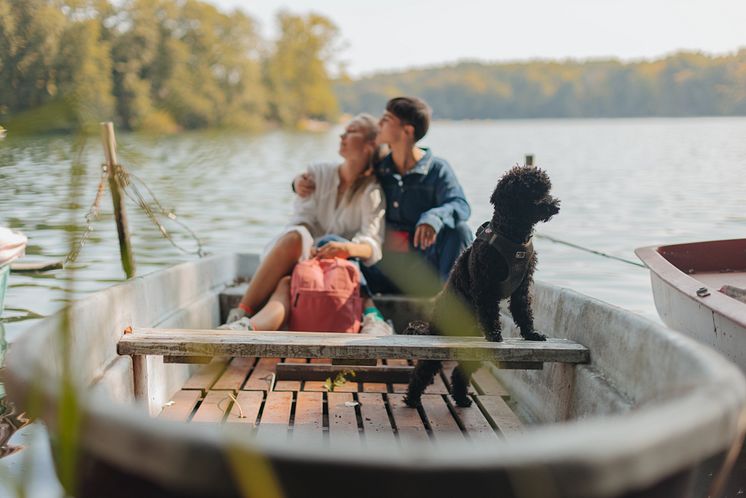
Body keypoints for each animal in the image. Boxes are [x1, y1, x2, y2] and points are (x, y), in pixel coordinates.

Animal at [402, 165, 560, 406]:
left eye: (545, 189)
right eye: (532, 192)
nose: (554, 205)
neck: (513, 236)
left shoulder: (522, 287)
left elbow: (524, 310)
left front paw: (531, 333)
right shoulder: (485, 284)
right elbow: (490, 310)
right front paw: (495, 334)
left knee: (460, 371)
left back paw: (461, 398)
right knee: (425, 368)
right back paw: (411, 398)